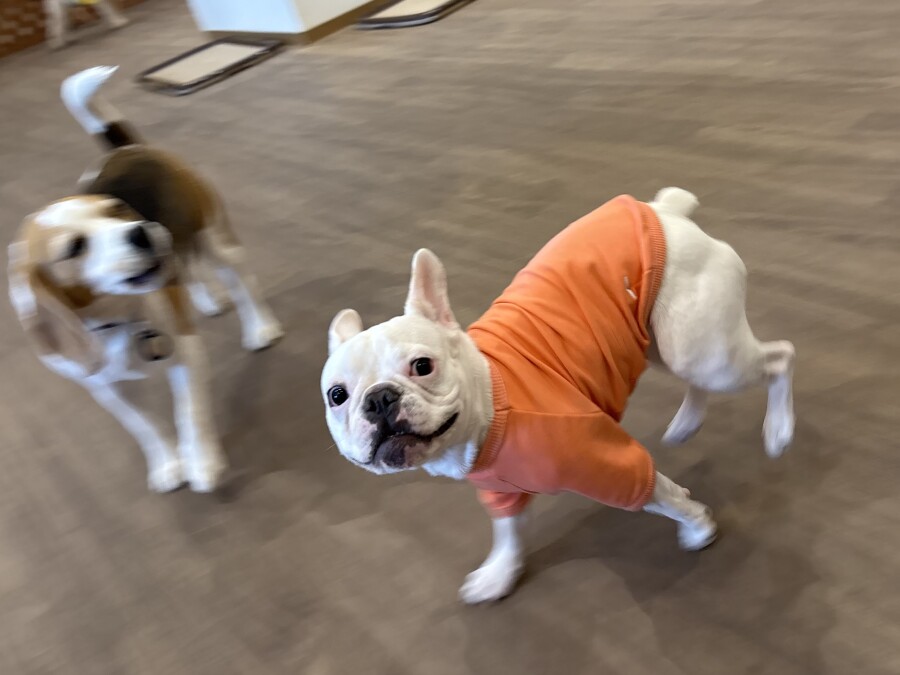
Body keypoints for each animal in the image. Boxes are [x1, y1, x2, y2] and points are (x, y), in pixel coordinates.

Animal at [8, 66, 284, 493]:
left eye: (115, 210)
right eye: (74, 247)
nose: (141, 230)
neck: (114, 321)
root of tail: (128, 149)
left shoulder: (183, 353)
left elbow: (189, 412)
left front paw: (200, 461)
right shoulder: (107, 391)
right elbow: (145, 428)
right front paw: (167, 464)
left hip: (215, 237)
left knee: (243, 283)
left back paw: (260, 327)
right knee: (187, 269)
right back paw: (207, 298)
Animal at [321, 188, 795, 603]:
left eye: (423, 366)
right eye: (337, 395)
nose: (379, 398)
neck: (489, 399)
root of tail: (664, 211)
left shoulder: (614, 466)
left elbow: (665, 498)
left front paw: (697, 527)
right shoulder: (501, 492)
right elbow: (508, 531)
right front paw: (500, 572)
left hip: (704, 351)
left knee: (779, 358)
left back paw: (779, 429)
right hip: (663, 343)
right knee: (701, 377)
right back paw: (688, 423)